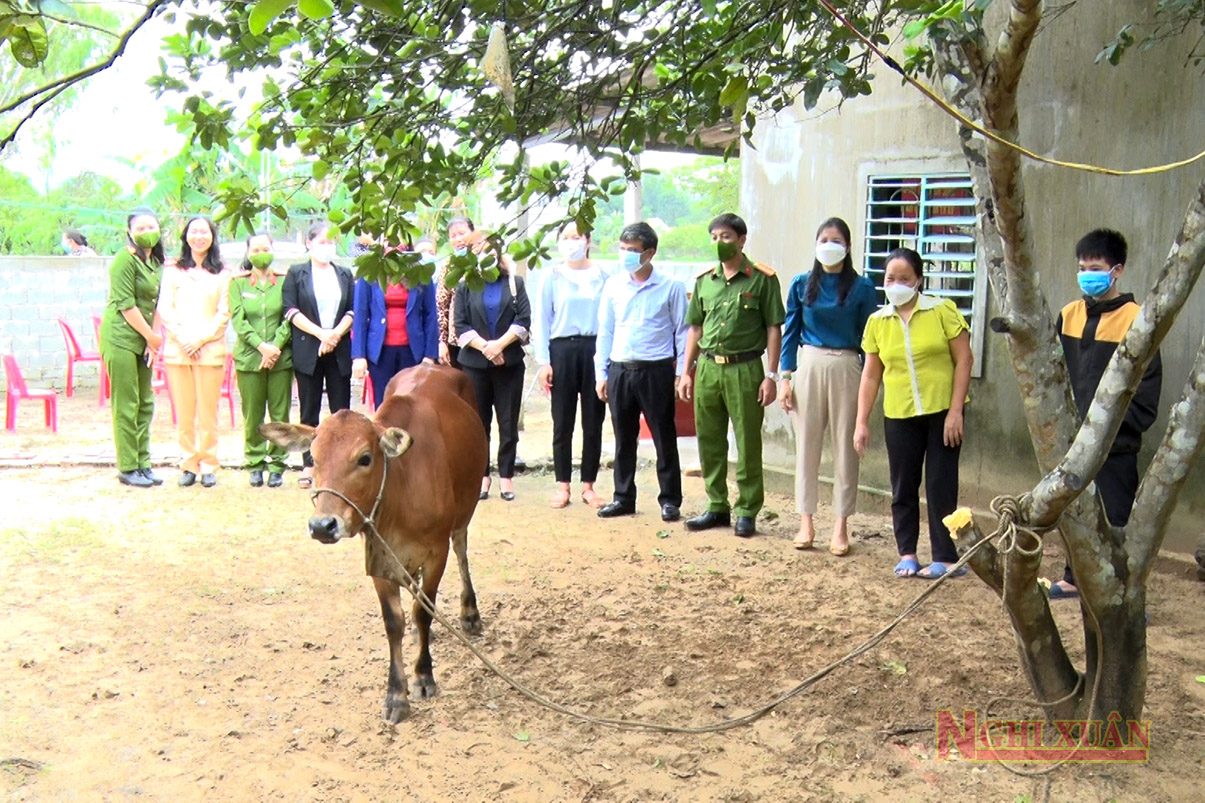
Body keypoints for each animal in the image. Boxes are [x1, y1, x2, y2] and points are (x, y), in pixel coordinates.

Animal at [262, 361, 484, 718]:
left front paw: (424, 676)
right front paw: (396, 694)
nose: (322, 525)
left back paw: (470, 613)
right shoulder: (379, 557)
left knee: (461, 549)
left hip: (466, 508)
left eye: (365, 458)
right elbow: (394, 620)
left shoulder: (436, 553)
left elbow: (423, 610)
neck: (402, 489)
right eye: (314, 457)